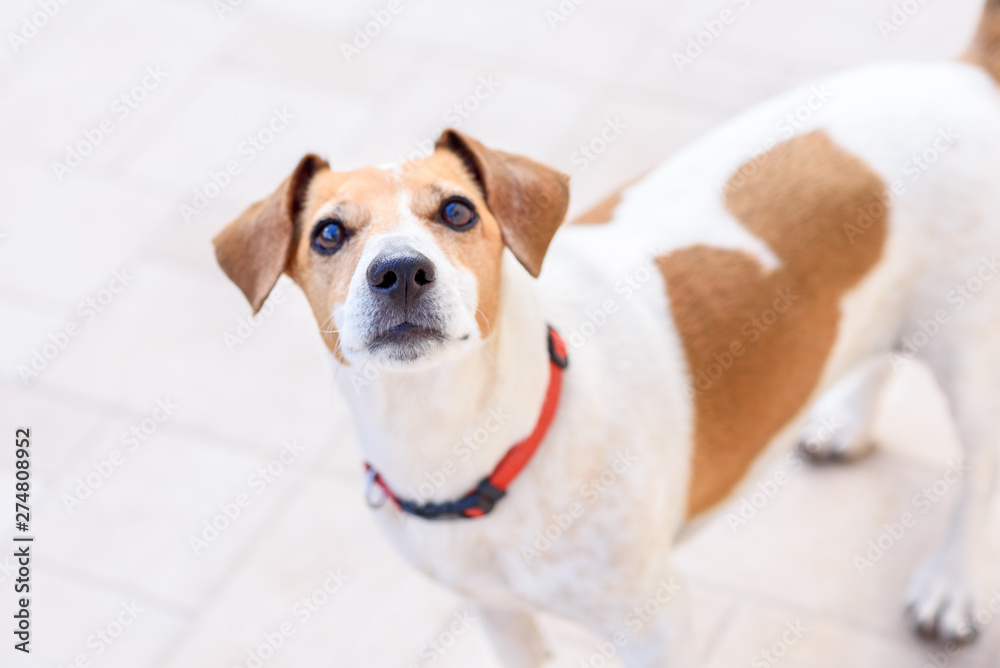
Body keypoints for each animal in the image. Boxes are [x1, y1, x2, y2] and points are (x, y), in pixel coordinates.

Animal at [213, 3, 1000, 664]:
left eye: (459, 211)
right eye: (328, 233)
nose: (401, 271)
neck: (469, 446)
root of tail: (965, 73)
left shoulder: (656, 627)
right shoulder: (498, 613)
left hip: (973, 356)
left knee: (981, 471)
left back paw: (951, 586)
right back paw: (847, 422)